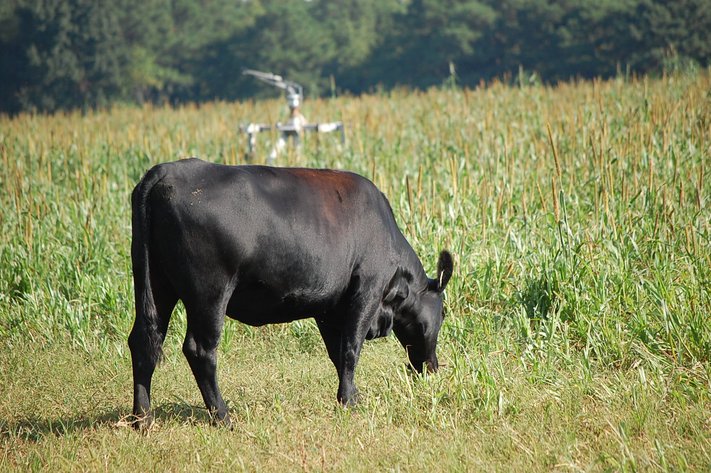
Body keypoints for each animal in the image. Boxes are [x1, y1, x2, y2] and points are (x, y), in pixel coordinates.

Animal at [129, 159, 454, 428]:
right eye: (443, 312)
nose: (432, 368)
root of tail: (164, 172)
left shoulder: (329, 308)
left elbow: (337, 353)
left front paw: (347, 395)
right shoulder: (367, 290)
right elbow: (351, 348)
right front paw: (350, 401)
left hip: (156, 283)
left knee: (144, 341)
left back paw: (142, 419)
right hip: (209, 292)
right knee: (199, 349)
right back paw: (222, 416)